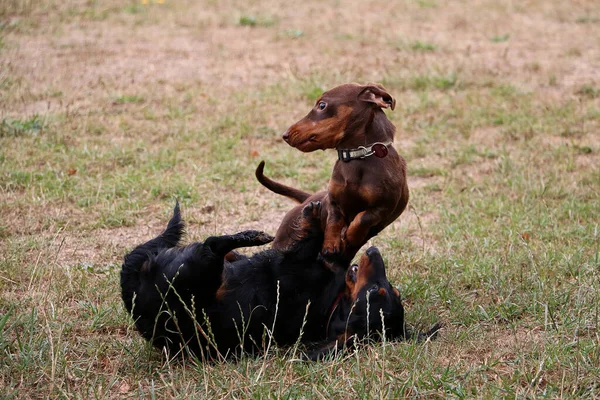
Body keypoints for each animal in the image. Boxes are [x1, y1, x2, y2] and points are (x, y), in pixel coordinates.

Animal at [120, 202, 406, 360]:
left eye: (374, 291)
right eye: (393, 290)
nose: (374, 251)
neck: (332, 304)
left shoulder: (295, 261)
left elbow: (308, 241)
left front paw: (313, 219)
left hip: (199, 269)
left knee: (212, 245)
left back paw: (249, 237)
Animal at [255, 83, 410, 264]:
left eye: (322, 105)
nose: (285, 135)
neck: (357, 156)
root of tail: (307, 198)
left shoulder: (383, 207)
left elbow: (363, 218)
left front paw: (350, 235)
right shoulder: (333, 201)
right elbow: (333, 222)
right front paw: (331, 244)